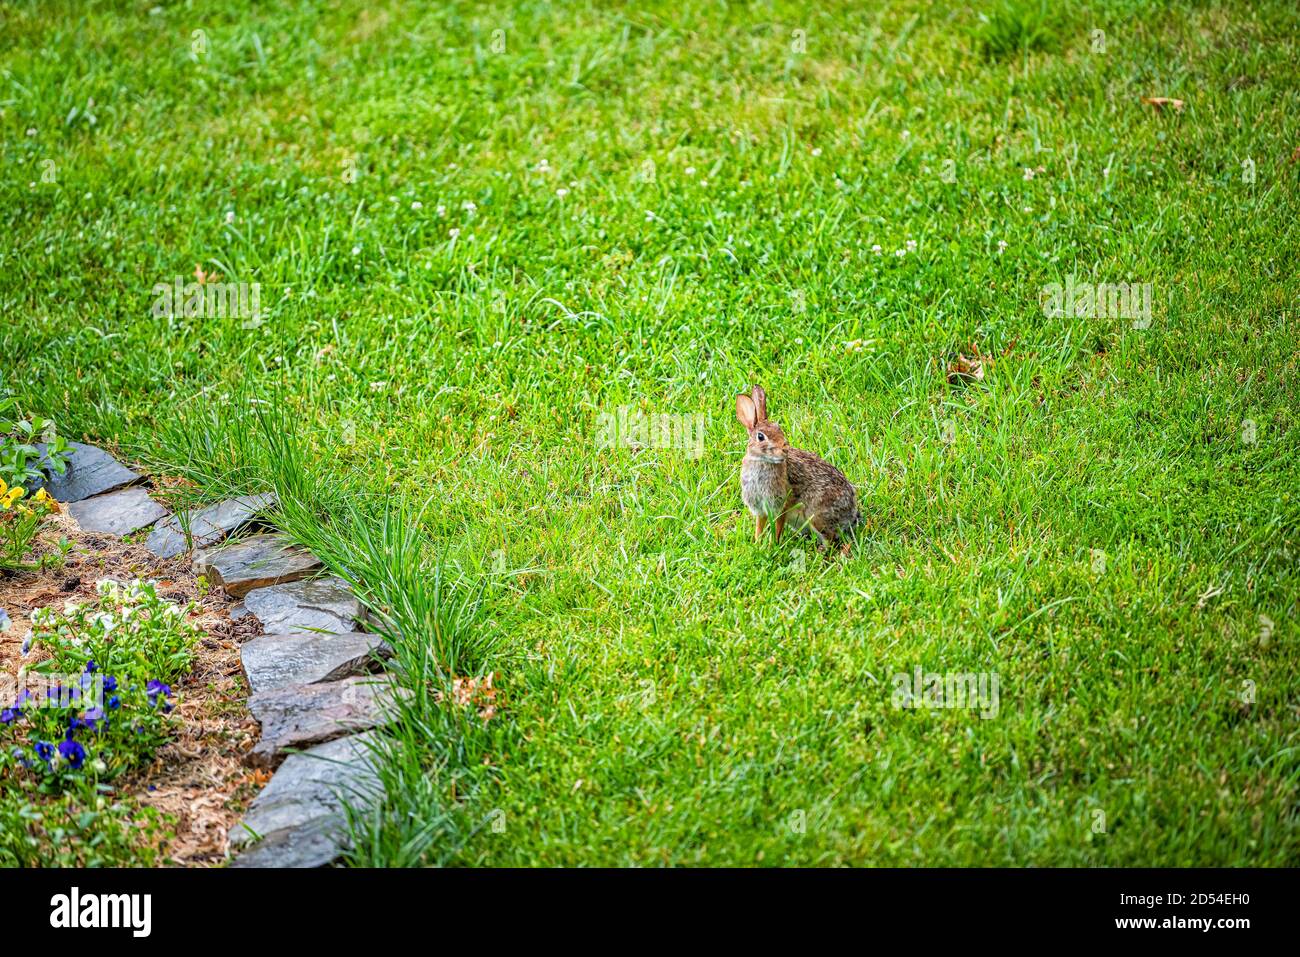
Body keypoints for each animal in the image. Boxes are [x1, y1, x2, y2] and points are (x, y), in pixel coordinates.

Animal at [735, 384, 861, 554]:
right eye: (761, 437)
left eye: (779, 429)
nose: (785, 448)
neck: (761, 461)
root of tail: (851, 512)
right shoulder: (760, 509)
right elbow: (759, 527)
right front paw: (757, 545)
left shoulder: (782, 505)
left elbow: (777, 528)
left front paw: (773, 546)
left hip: (816, 516)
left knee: (830, 538)